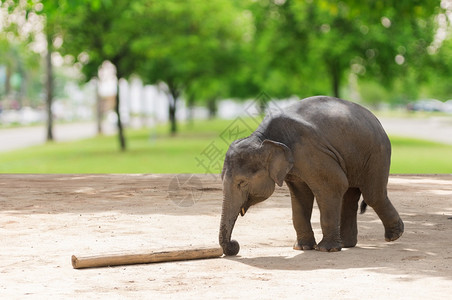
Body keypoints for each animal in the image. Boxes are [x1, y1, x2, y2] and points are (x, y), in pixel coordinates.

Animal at [219, 96, 402, 255]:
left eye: (242, 183)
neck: (263, 138)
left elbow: (333, 185)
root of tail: (376, 119)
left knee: (372, 195)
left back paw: (394, 236)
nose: (235, 245)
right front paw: (302, 248)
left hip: (377, 154)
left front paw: (326, 250)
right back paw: (347, 244)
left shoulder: (312, 152)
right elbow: (301, 196)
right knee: (350, 197)